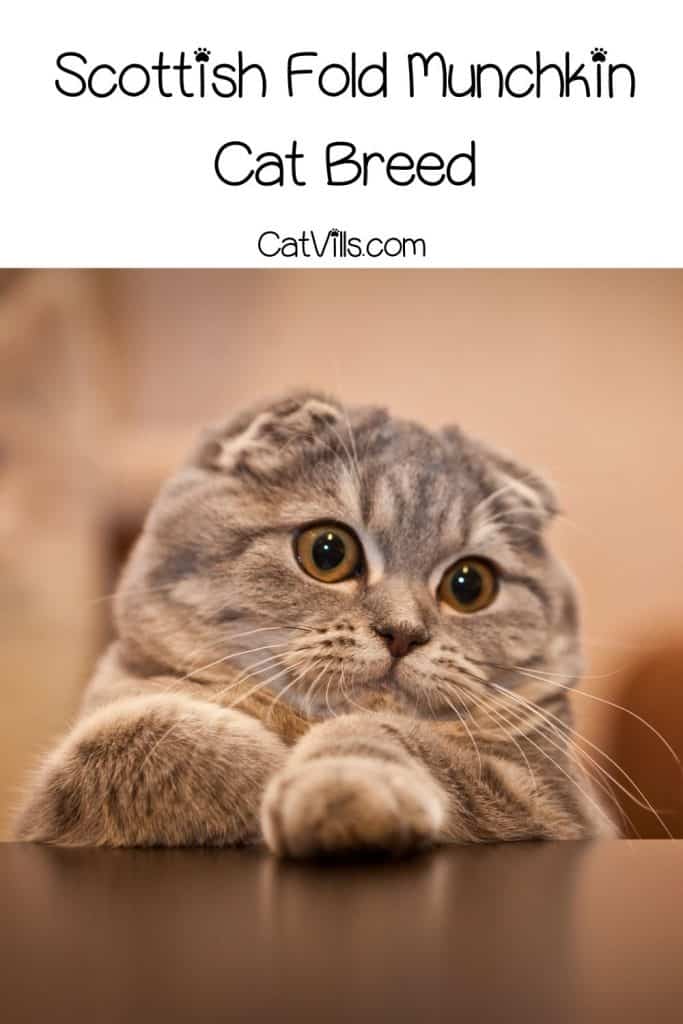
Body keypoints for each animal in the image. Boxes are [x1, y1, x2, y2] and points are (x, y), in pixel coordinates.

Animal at [14, 387, 614, 851]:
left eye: (469, 585)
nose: (404, 633)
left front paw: (338, 788)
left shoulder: (552, 798)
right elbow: (137, 731)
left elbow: (393, 735)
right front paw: (268, 771)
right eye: (328, 552)